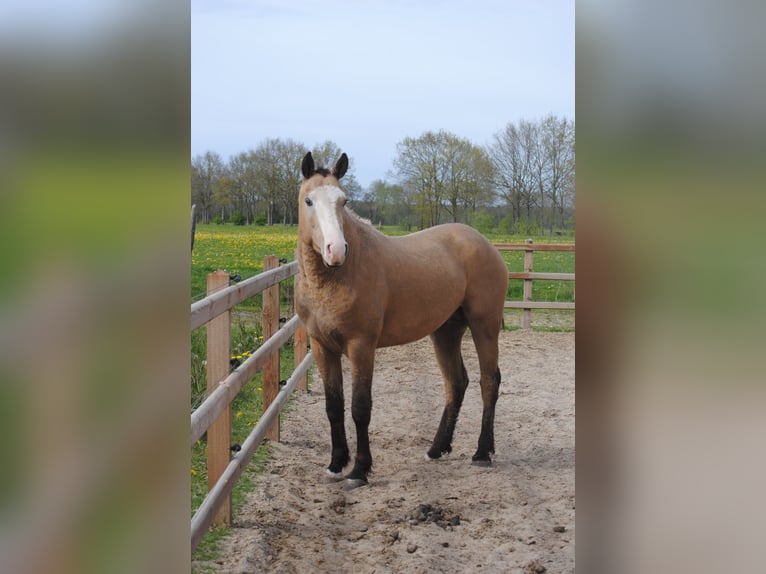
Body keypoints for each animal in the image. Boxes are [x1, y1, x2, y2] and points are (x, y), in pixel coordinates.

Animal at [295, 151, 509, 489]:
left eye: (343, 200)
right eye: (309, 201)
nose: (336, 250)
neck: (334, 278)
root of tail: (485, 244)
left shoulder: (361, 346)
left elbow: (360, 408)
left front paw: (359, 470)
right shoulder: (321, 347)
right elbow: (333, 407)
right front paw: (336, 464)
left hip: (484, 327)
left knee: (489, 381)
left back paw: (482, 453)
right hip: (446, 331)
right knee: (456, 382)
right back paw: (436, 449)